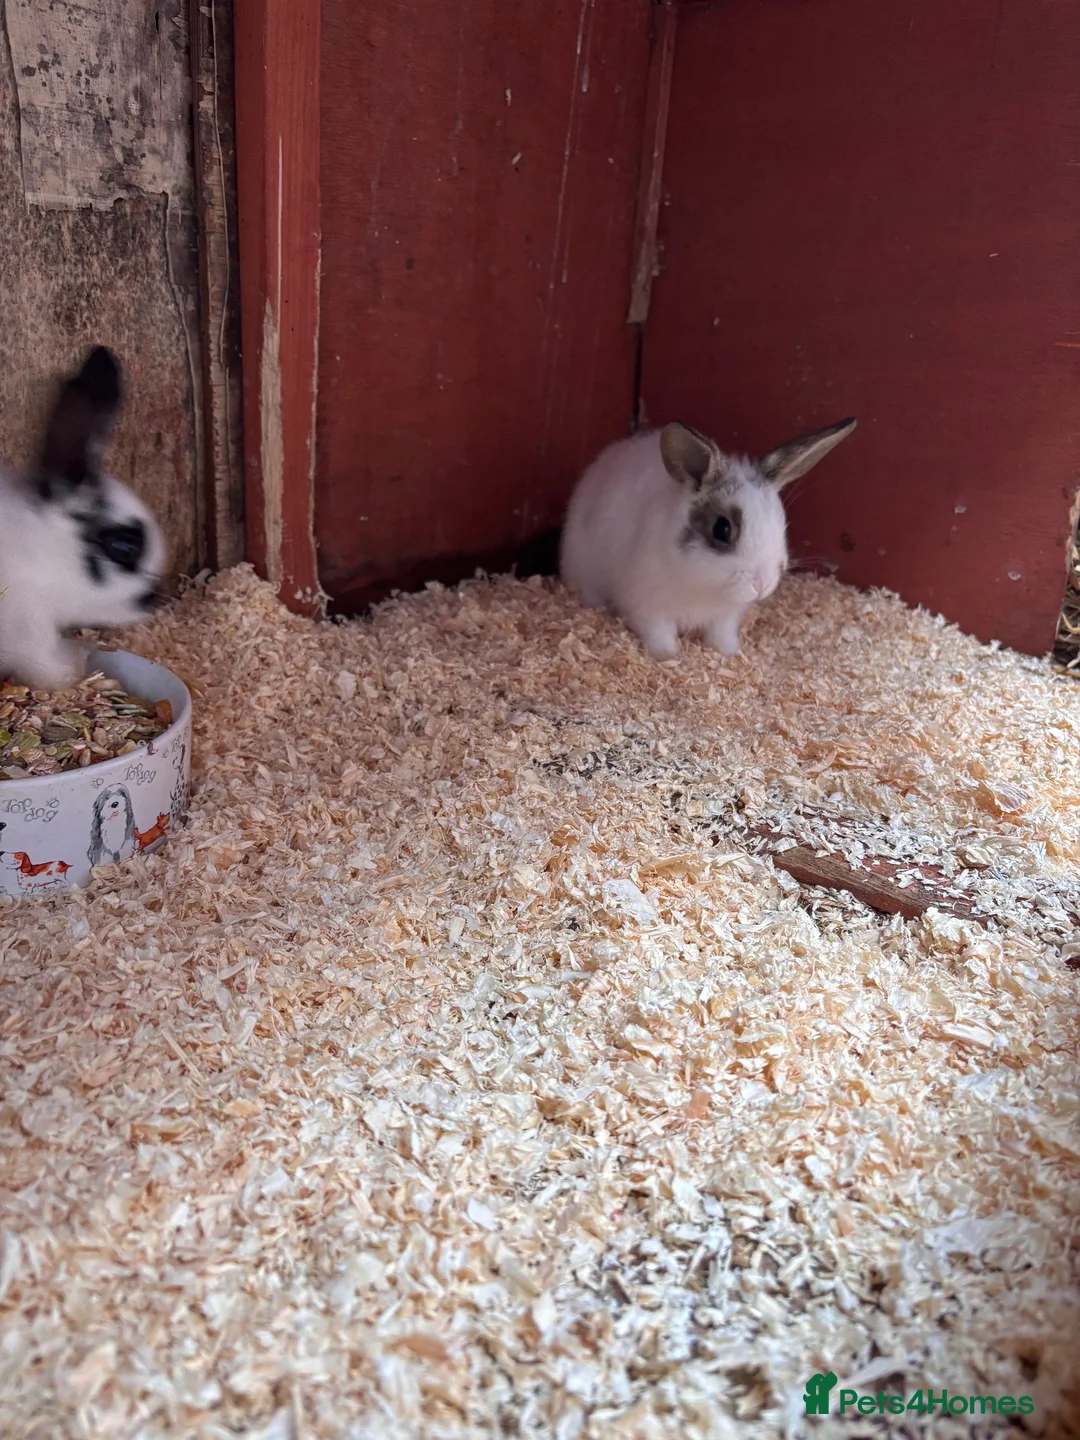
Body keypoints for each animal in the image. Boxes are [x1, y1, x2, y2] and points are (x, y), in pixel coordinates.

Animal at [0, 346, 168, 688]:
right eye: (124, 547)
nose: (152, 599)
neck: (42, 552)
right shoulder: (29, 629)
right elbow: (44, 665)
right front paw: (75, 667)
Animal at [559, 416, 856, 659]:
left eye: (781, 525)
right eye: (722, 529)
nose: (763, 584)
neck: (704, 590)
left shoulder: (725, 616)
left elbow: (720, 635)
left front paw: (730, 653)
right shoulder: (647, 605)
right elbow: (659, 634)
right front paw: (669, 657)